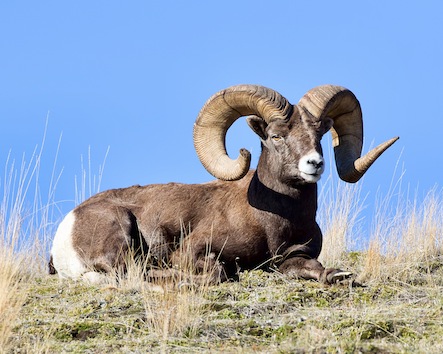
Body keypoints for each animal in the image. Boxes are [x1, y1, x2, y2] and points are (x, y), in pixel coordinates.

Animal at [49, 84, 398, 284]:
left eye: (319, 135)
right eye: (276, 136)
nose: (314, 164)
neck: (272, 220)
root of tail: (65, 232)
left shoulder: (290, 257)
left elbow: (317, 268)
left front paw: (338, 275)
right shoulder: (192, 253)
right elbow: (217, 270)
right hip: (120, 232)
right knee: (131, 273)